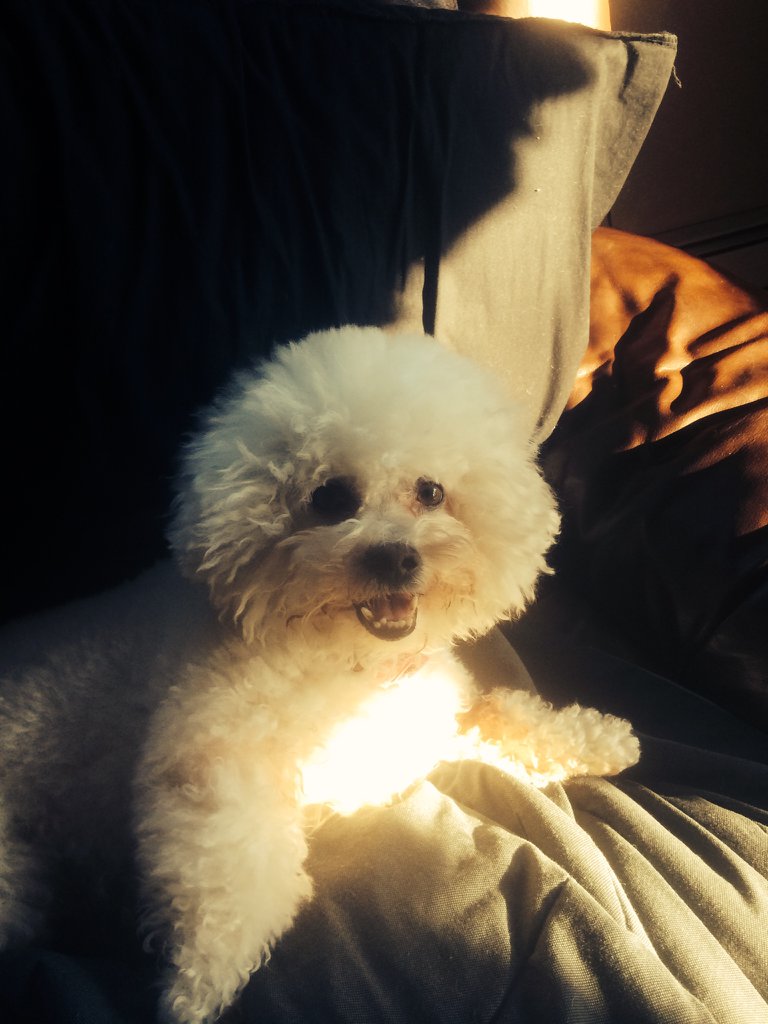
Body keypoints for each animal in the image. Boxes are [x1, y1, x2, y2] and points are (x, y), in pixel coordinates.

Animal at [0, 326, 638, 1023]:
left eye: (431, 491)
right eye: (331, 497)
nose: (395, 558)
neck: (351, 664)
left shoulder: (434, 725)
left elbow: (506, 714)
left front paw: (598, 741)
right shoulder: (211, 768)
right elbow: (232, 875)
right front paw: (195, 989)